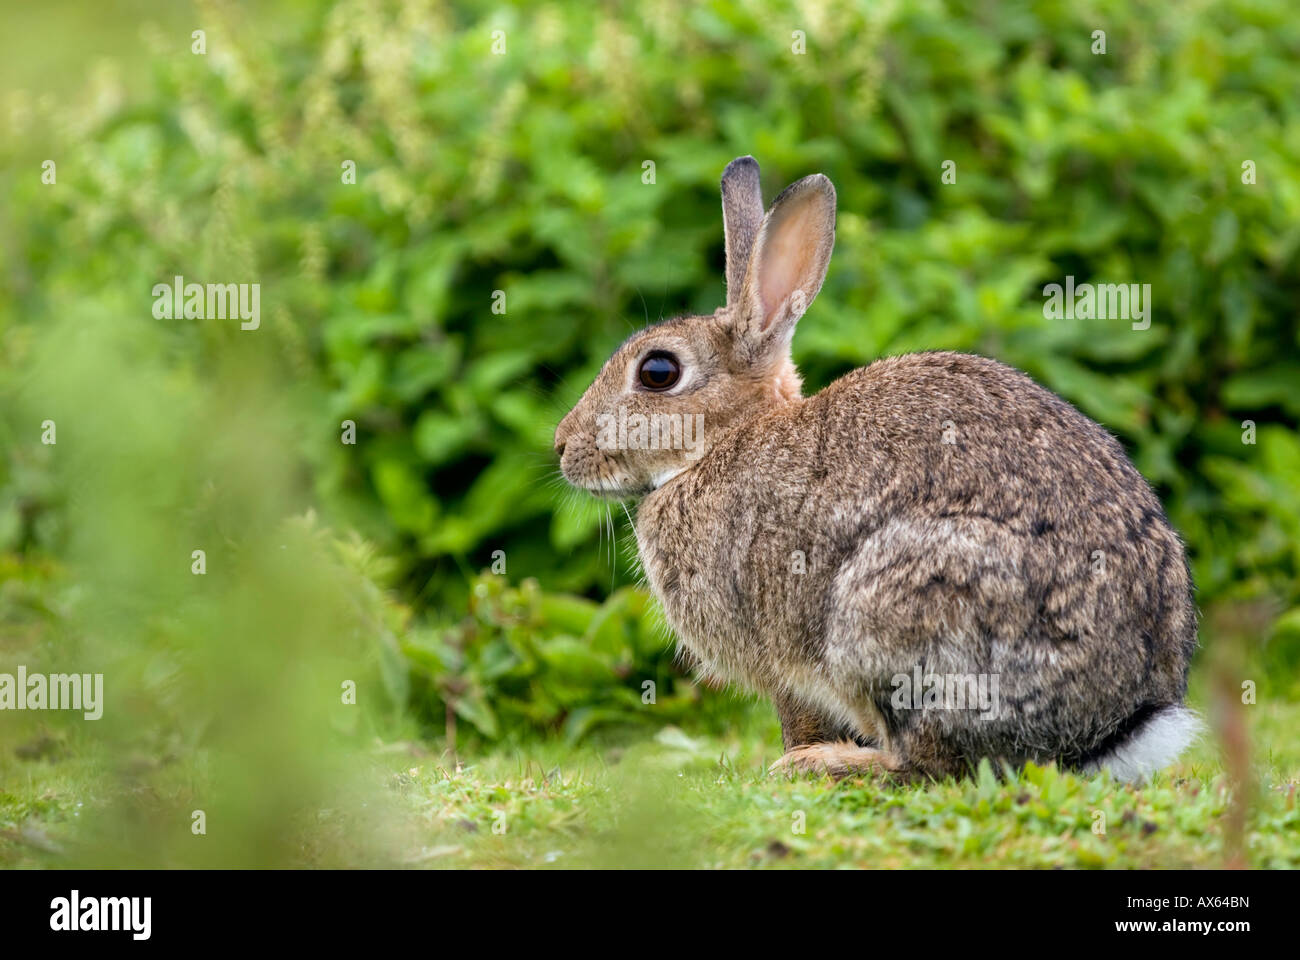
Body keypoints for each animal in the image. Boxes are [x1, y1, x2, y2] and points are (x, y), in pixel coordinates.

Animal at [554, 156, 1200, 783]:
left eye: (658, 372)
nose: (562, 446)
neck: (725, 440)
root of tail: (1112, 724)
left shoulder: (778, 655)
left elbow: (797, 716)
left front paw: (792, 757)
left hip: (895, 616)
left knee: (932, 763)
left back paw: (827, 763)